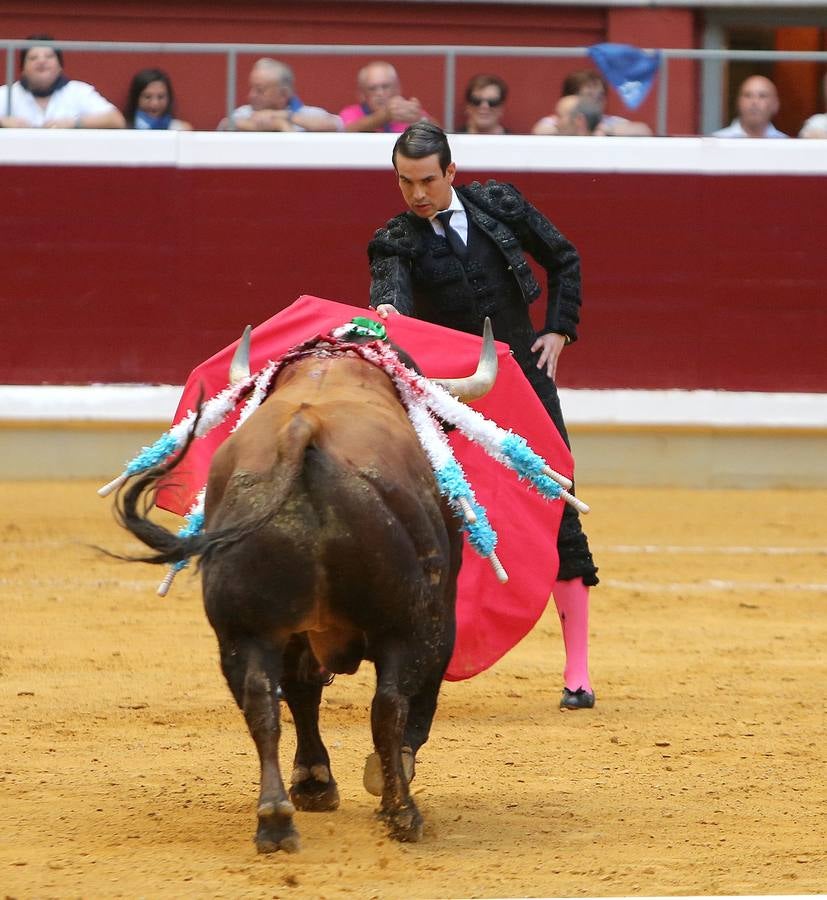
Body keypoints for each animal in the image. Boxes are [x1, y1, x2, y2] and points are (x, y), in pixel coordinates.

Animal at [115, 322, 498, 852]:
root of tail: (303, 434)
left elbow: (299, 693)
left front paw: (313, 781)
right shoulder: (442, 613)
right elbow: (411, 706)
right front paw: (378, 778)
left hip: (243, 630)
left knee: (260, 701)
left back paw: (275, 819)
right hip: (409, 624)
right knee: (389, 704)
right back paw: (400, 812)